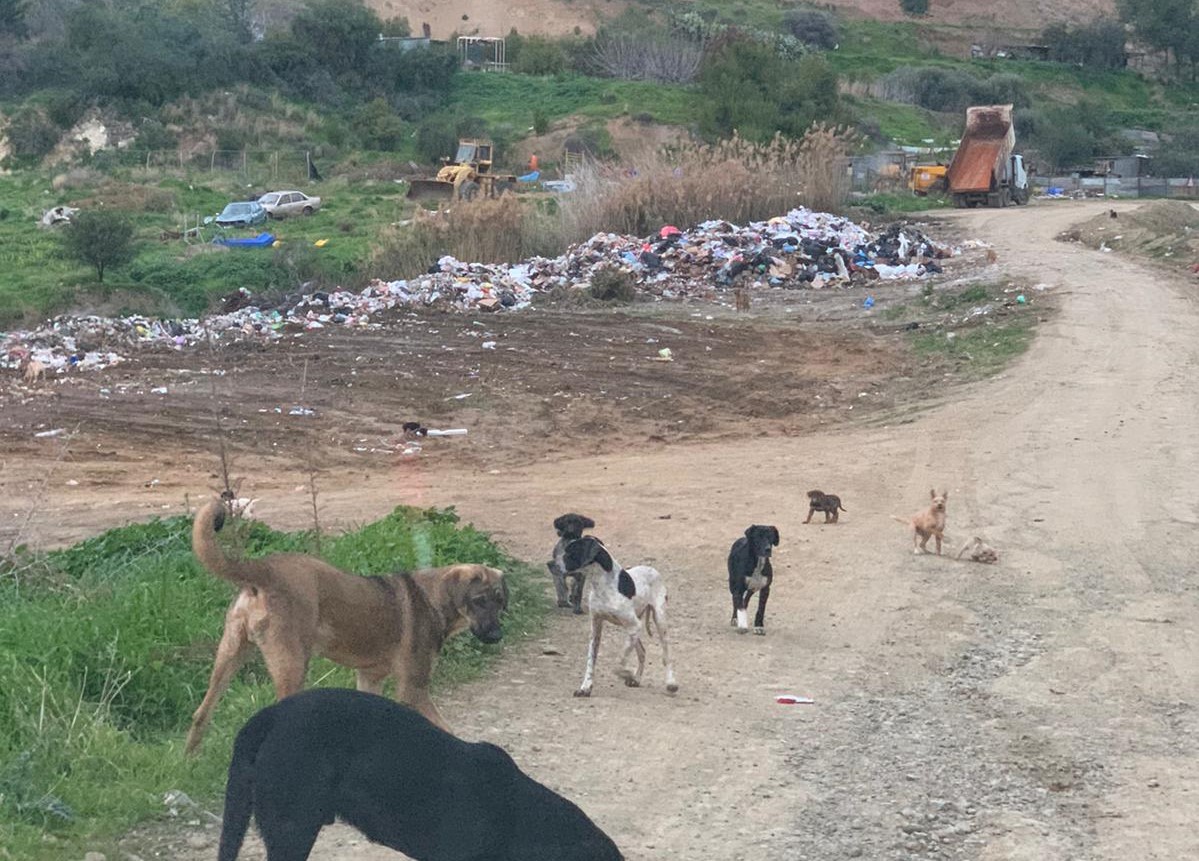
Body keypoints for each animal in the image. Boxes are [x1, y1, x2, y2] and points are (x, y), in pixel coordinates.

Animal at [184, 498, 508, 757]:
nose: (496, 636)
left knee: (201, 713)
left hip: (229, 654)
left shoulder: (370, 678)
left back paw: (190, 760)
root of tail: (263, 568)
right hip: (291, 665)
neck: (433, 598)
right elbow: (446, 729)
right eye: (479, 601)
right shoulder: (413, 688)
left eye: (500, 601)